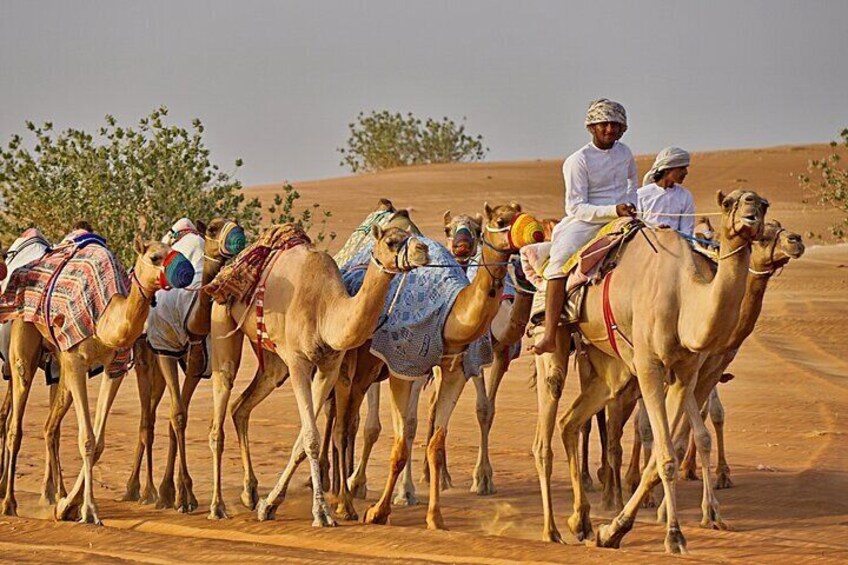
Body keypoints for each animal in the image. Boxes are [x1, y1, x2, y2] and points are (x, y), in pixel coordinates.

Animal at [0, 231, 193, 524]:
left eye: (174, 250)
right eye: (154, 257)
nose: (186, 271)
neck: (105, 319)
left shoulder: (116, 367)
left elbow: (98, 442)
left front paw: (68, 505)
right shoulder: (76, 359)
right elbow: (87, 439)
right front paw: (89, 510)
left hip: (59, 361)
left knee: (50, 426)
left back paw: (54, 496)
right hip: (25, 337)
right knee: (15, 424)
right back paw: (9, 503)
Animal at [206, 221, 430, 524]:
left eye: (411, 235)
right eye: (392, 241)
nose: (423, 250)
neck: (326, 310)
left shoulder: (328, 366)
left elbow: (303, 439)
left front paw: (269, 504)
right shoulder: (299, 362)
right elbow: (311, 437)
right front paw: (321, 512)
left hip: (273, 362)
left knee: (241, 405)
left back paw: (249, 493)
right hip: (222, 317)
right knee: (222, 401)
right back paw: (217, 506)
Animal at [532, 191, 772, 552]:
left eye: (763, 204)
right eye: (730, 203)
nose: (751, 213)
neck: (684, 297)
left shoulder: (684, 372)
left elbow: (662, 455)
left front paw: (611, 531)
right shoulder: (649, 366)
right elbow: (666, 456)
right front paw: (674, 535)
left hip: (609, 370)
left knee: (570, 422)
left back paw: (581, 522)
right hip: (554, 342)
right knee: (546, 428)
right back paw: (550, 531)